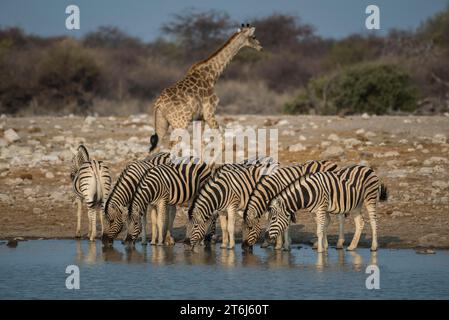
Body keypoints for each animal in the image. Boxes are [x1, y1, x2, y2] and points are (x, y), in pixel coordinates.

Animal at [150, 24, 262, 152]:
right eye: (254, 36)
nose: (261, 47)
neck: (213, 74)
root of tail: (158, 104)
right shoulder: (209, 112)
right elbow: (221, 142)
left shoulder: (200, 118)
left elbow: (201, 144)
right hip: (180, 122)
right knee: (172, 146)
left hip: (162, 123)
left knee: (155, 148)